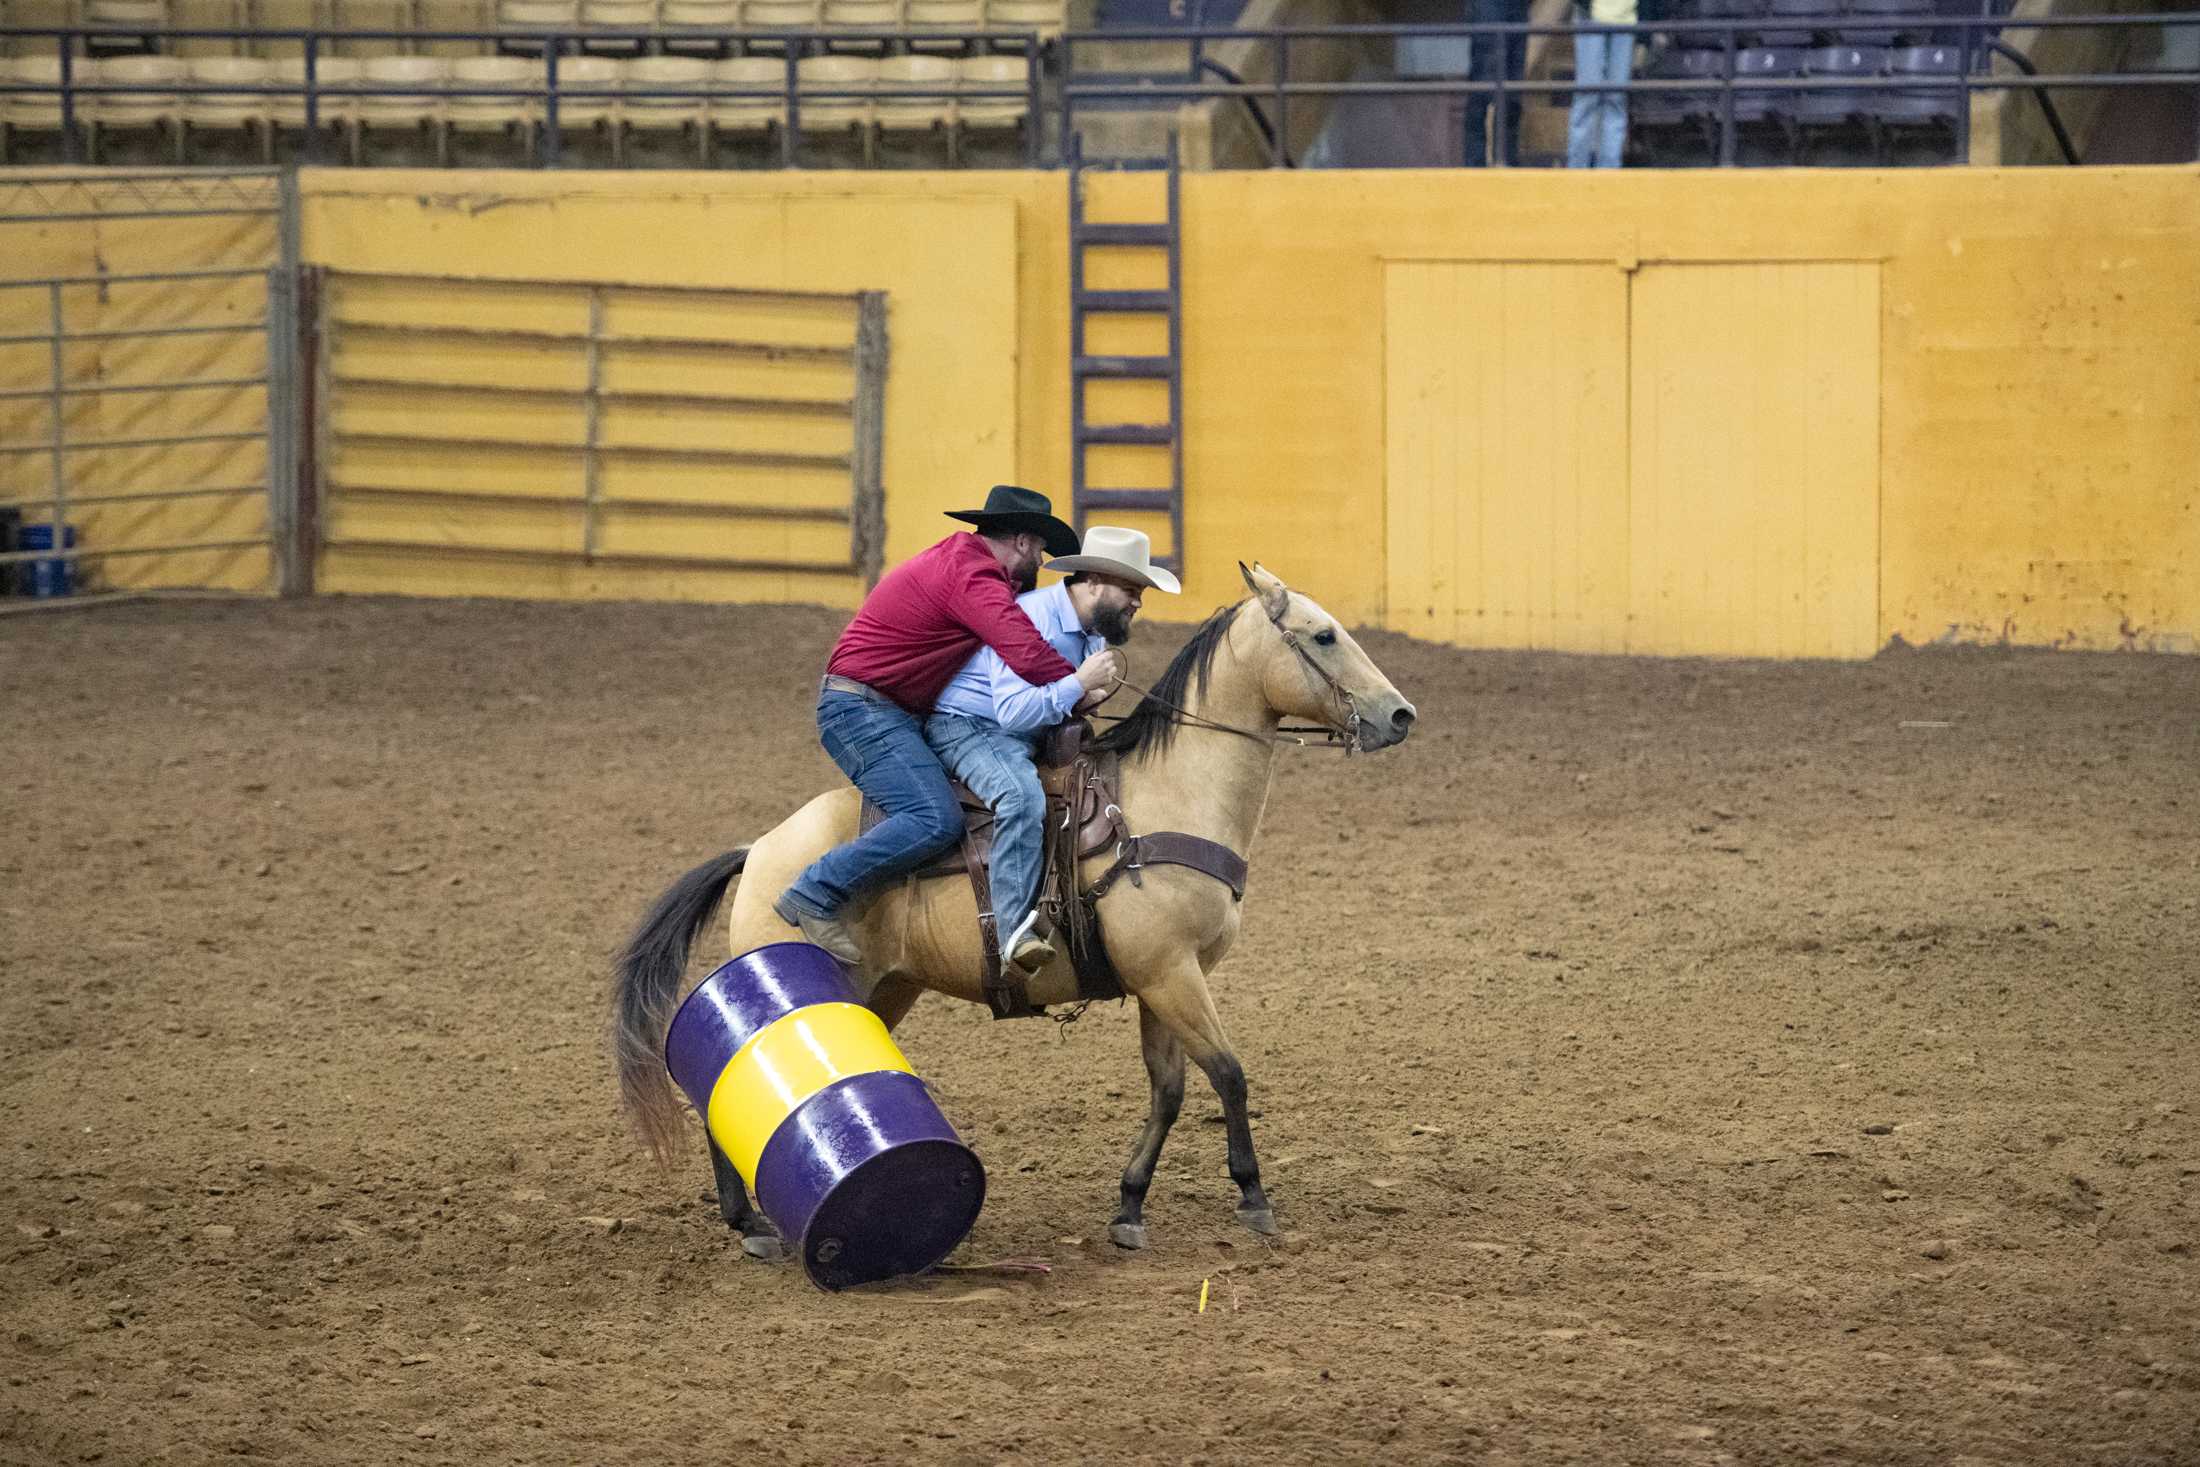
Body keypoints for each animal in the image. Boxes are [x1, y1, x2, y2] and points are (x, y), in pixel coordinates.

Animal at [611, 567, 1416, 1258]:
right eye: (1323, 635)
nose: (1400, 714)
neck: (1168, 796)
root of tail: (759, 849)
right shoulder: (1171, 973)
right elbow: (1229, 1073)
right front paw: (1253, 1196)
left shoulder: (1161, 979)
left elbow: (1170, 1090)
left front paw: (1129, 1206)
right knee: (723, 1091)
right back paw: (749, 1223)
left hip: (882, 990)